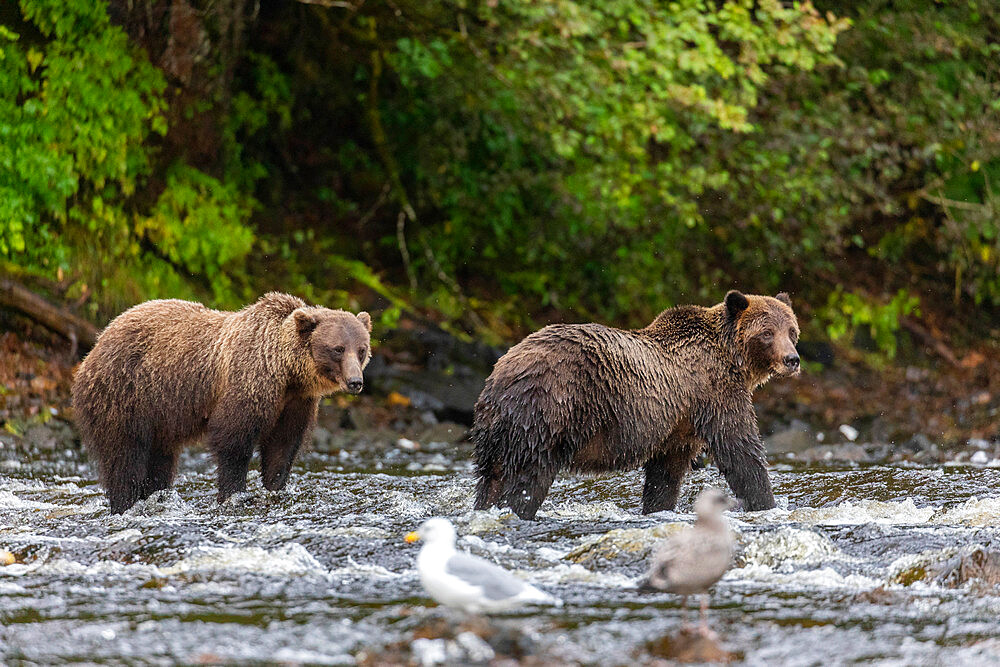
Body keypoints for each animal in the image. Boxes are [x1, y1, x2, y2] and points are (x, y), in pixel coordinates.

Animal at [72, 290, 374, 512]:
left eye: (361, 349)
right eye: (337, 349)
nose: (355, 382)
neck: (286, 372)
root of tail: (95, 346)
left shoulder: (296, 402)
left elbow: (283, 445)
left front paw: (275, 487)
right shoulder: (249, 382)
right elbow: (233, 439)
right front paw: (234, 494)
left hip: (160, 413)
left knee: (161, 460)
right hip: (124, 395)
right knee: (125, 456)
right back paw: (126, 502)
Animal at [472, 292, 800, 520]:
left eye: (792, 331)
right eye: (767, 332)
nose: (792, 359)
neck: (733, 361)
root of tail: (502, 374)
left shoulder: (678, 425)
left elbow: (665, 475)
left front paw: (658, 508)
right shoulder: (715, 394)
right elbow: (740, 450)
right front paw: (767, 503)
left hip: (495, 432)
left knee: (491, 480)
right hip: (548, 411)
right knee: (528, 479)